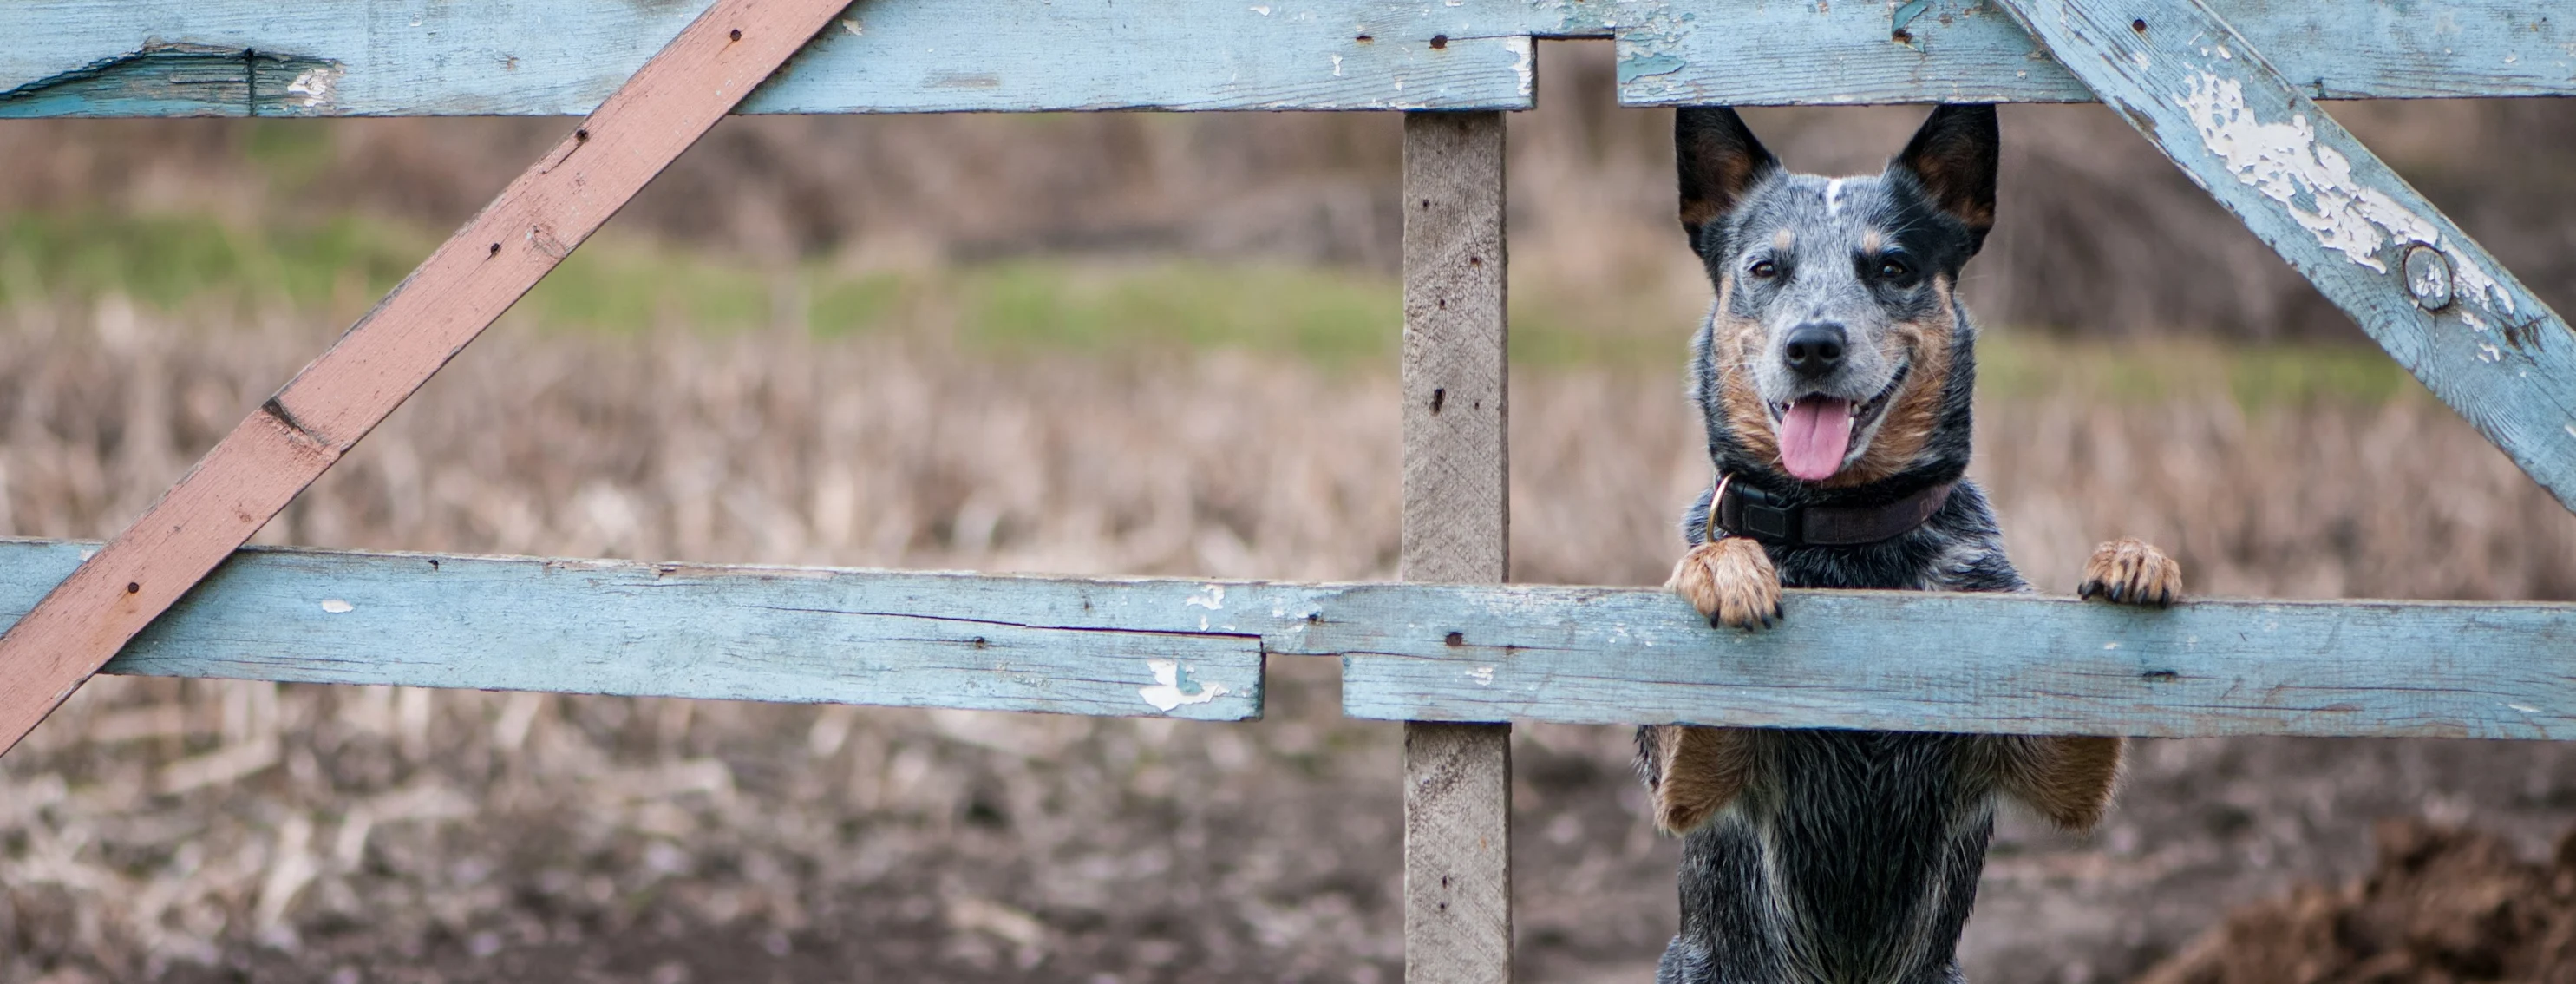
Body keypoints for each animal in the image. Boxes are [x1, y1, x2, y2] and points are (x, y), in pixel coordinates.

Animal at [1638, 103, 2184, 979]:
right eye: (1766, 268)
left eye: (1892, 267)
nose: (1814, 344)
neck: (1852, 546)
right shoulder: (1692, 783)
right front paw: (1724, 565)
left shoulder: (2041, 760)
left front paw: (2132, 556)